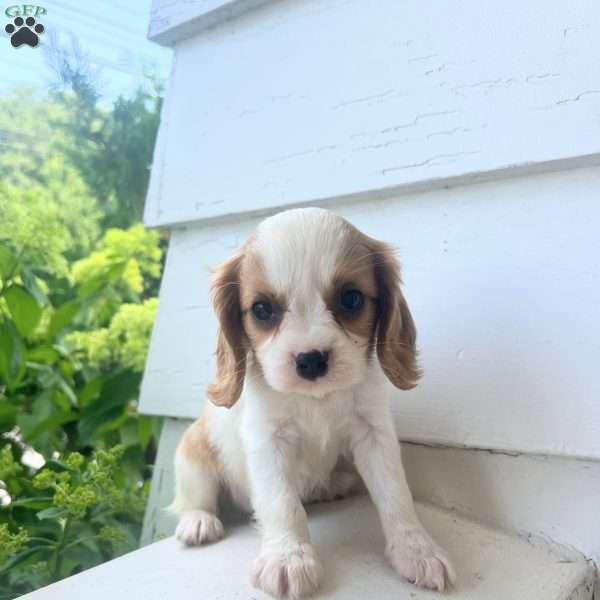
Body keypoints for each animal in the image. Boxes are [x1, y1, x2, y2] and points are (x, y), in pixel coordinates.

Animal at [172, 205, 454, 596]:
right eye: (262, 309)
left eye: (351, 298)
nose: (310, 360)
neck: (317, 399)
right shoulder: (268, 440)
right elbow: (283, 503)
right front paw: (288, 557)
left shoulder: (373, 433)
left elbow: (395, 492)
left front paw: (416, 549)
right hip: (193, 452)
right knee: (194, 497)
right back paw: (198, 521)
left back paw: (330, 486)